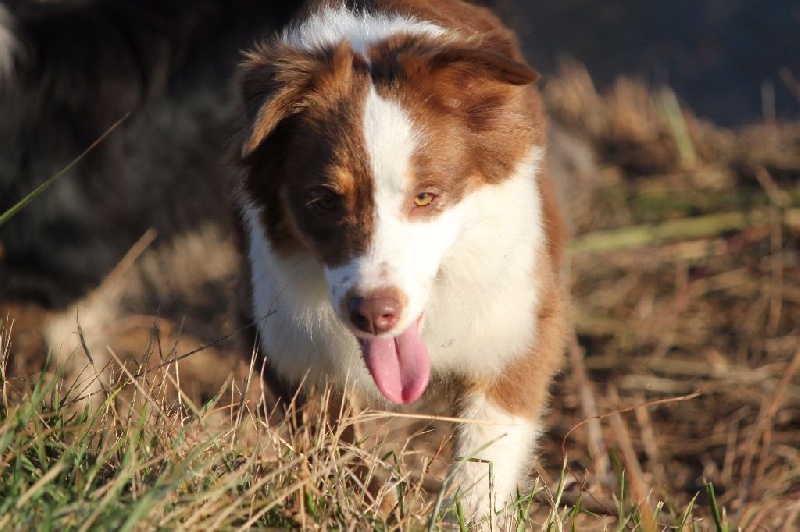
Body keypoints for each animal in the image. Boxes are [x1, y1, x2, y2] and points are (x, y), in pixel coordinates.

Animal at [233, 0, 568, 524]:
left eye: (425, 197)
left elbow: (485, 455)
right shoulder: (288, 341)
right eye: (324, 201)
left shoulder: (518, 321)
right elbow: (338, 444)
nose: (374, 314)